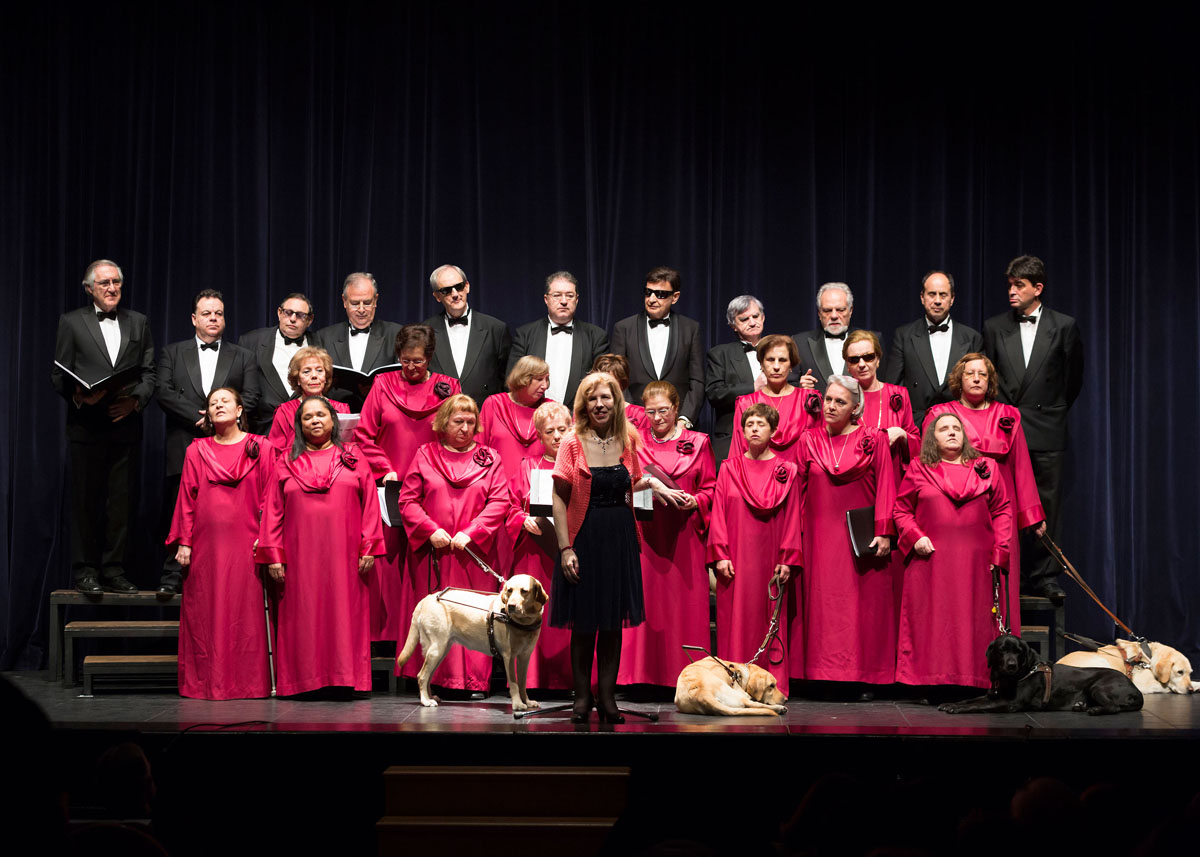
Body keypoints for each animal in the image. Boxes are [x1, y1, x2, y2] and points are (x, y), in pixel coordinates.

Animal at [396, 573, 547, 705]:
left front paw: (527, 702)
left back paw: (430, 696)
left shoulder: (524, 657)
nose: (511, 606)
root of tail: (427, 598)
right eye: (509, 590)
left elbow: (522, 683)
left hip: (441, 651)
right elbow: (514, 684)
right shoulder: (508, 656)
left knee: (428, 676)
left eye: (524, 591)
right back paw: (425, 701)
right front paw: (518, 705)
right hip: (436, 649)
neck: (524, 621)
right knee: (421, 676)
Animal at [936, 633, 1142, 715]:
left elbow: (979, 705)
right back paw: (1081, 706)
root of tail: (1136, 690)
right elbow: (970, 699)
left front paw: (956, 709)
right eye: (1002, 650)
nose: (1011, 665)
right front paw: (950, 703)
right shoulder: (992, 694)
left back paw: (1094, 710)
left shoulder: (1009, 703)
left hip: (1098, 687)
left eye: (1019, 651)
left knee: (1114, 707)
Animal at [1056, 638, 1195, 691]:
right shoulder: (1146, 685)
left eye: (1189, 673)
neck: (1148, 655)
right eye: (1179, 672)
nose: (1190, 690)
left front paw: (1195, 685)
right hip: (1102, 662)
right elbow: (1166, 687)